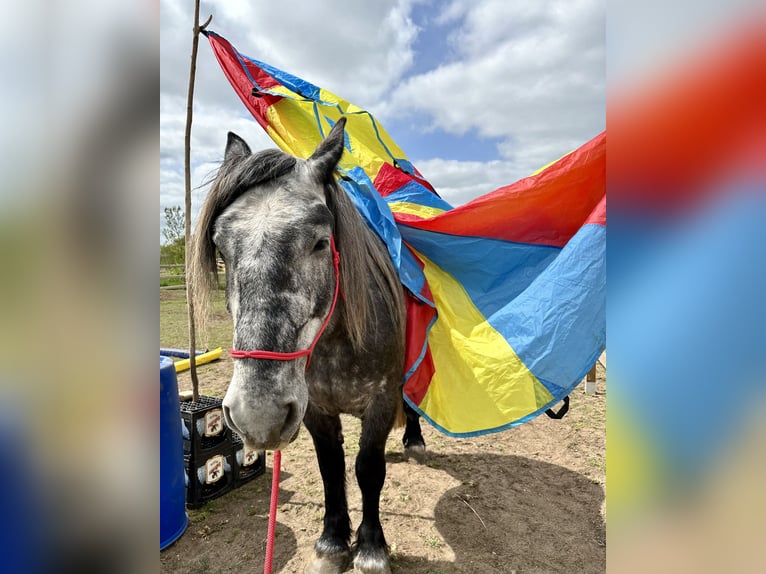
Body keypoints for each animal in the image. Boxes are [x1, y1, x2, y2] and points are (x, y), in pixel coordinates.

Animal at [190, 117, 425, 574]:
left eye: (319, 241)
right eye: (221, 248)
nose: (257, 415)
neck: (337, 342)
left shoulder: (381, 400)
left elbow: (368, 468)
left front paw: (370, 549)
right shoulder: (313, 408)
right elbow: (331, 467)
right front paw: (332, 543)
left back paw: (415, 440)